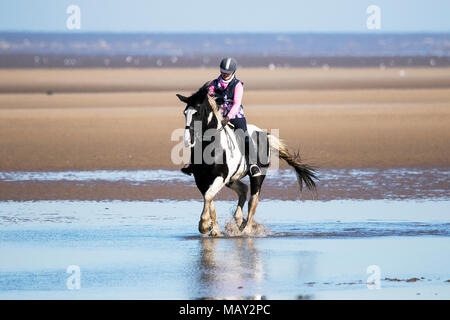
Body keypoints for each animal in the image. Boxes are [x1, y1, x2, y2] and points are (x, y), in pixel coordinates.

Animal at [176, 84, 316, 236]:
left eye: (197, 113)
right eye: (185, 113)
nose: (187, 140)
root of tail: (264, 133)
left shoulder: (221, 177)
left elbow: (208, 196)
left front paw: (205, 225)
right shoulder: (202, 180)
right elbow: (209, 199)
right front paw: (214, 230)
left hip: (257, 176)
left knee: (253, 200)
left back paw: (247, 229)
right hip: (231, 179)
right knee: (243, 189)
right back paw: (238, 220)